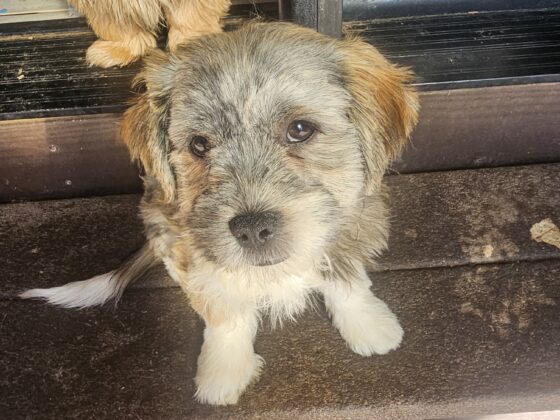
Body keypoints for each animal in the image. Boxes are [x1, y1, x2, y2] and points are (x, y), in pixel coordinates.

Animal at [21, 22, 419, 405]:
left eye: (300, 129)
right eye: (199, 144)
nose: (252, 228)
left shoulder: (352, 221)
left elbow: (346, 280)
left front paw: (369, 324)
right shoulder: (193, 259)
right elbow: (225, 315)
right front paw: (223, 373)